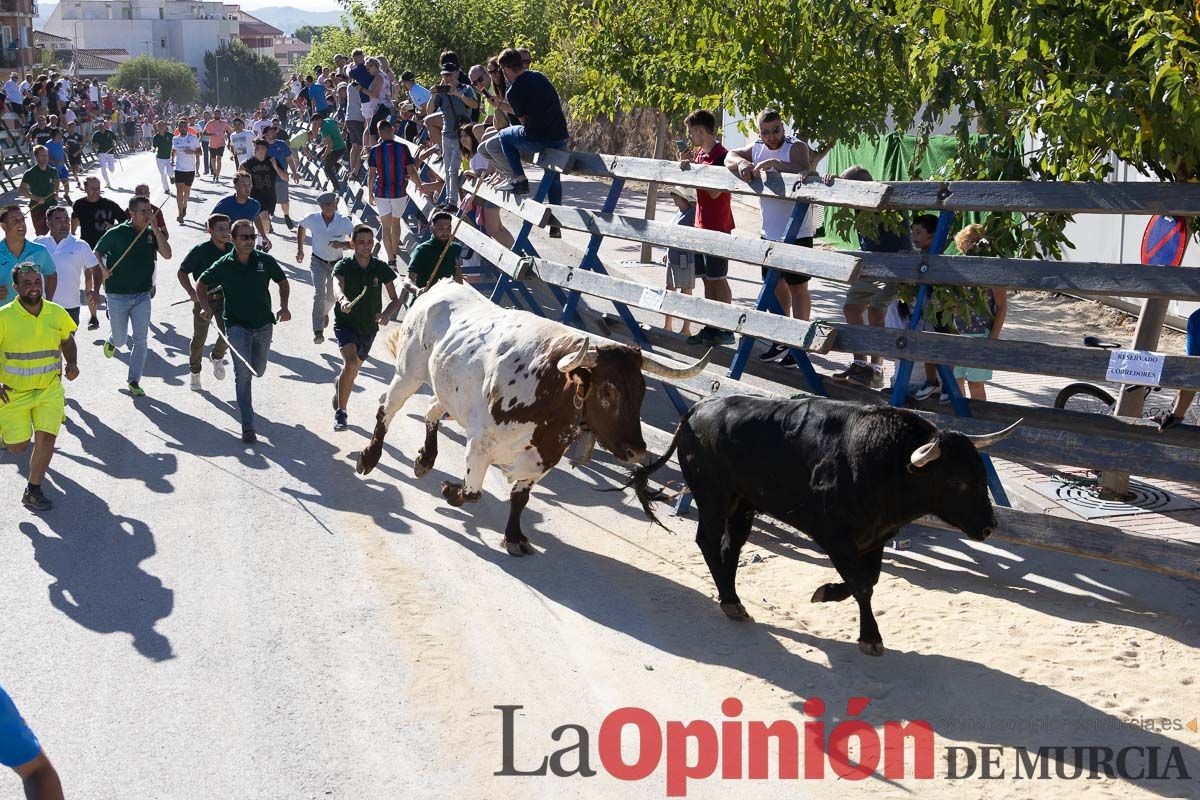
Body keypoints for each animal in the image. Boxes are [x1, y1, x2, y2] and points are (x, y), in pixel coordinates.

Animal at [633, 395, 1017, 657]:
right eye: (956, 481)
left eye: (982, 475)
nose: (989, 527)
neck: (882, 463)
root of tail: (699, 408)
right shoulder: (834, 537)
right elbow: (862, 584)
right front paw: (870, 637)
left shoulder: (875, 539)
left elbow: (869, 579)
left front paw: (827, 593)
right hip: (713, 497)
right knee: (709, 542)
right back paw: (730, 601)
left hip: (742, 505)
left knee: (731, 546)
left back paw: (733, 600)